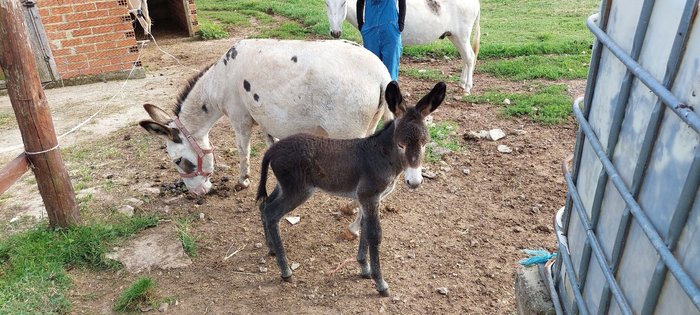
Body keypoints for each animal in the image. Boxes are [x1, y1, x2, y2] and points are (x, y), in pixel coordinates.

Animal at [258, 81, 448, 296]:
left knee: (265, 205)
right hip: (298, 191)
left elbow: (364, 228)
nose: (414, 182)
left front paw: (364, 268)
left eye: (425, 144)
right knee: (272, 213)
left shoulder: (369, 199)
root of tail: (272, 150)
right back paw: (285, 271)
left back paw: (271, 248)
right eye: (401, 144)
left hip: (285, 186)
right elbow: (375, 234)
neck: (381, 156)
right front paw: (380, 282)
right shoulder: (368, 195)